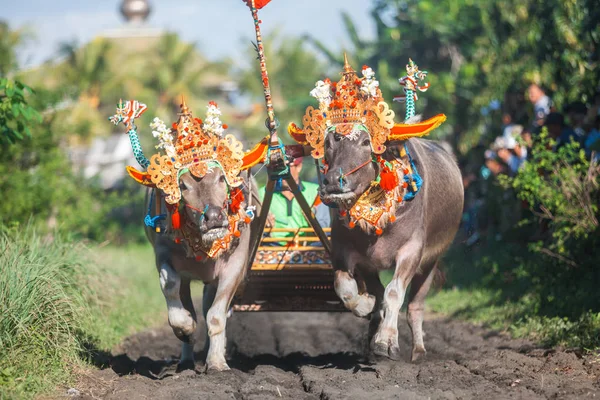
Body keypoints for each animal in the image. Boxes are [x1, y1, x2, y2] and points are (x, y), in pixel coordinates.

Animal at [146, 170, 258, 372]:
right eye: (182, 185)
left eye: (221, 178)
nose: (213, 217)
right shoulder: (163, 253)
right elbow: (170, 286)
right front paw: (185, 328)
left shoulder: (235, 264)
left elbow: (216, 316)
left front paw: (216, 362)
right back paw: (186, 360)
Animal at [318, 136, 464, 360]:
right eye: (329, 142)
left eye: (366, 142)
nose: (334, 181)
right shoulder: (345, 251)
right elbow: (344, 288)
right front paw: (366, 305)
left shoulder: (411, 251)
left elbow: (394, 293)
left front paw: (386, 341)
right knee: (378, 293)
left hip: (430, 262)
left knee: (414, 306)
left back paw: (419, 351)